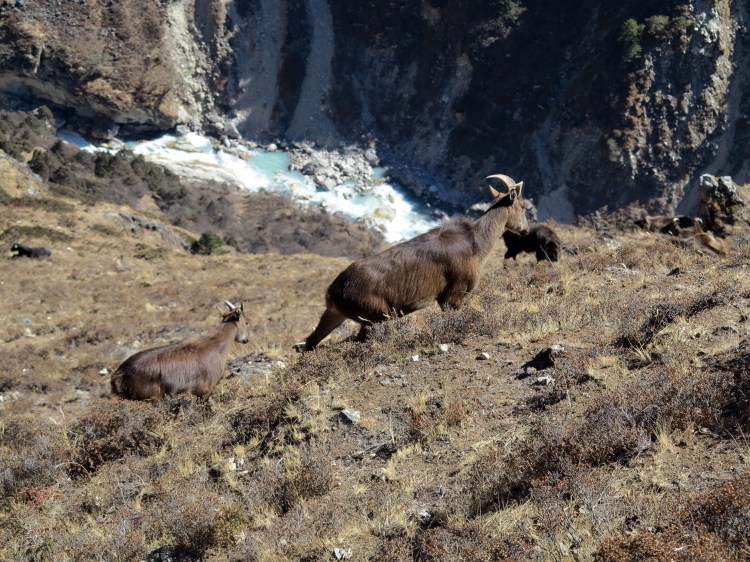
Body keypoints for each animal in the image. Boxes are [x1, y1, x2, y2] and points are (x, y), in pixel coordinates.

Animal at [297, 174, 529, 351]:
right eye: (524, 206)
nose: (526, 230)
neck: (476, 240)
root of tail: (335, 291)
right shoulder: (453, 294)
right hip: (374, 317)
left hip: (335, 314)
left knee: (311, 342)